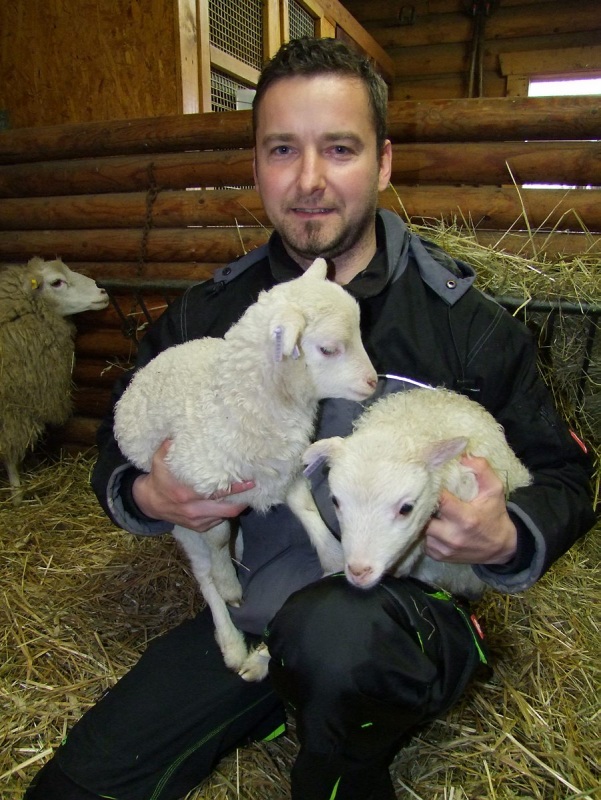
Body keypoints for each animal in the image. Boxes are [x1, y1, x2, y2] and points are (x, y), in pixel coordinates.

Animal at [113, 258, 376, 680]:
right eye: (328, 349)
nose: (372, 381)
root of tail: (145, 370)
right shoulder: (199, 491)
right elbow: (218, 540)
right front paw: (229, 583)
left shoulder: (285, 469)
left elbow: (307, 511)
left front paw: (334, 557)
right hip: (176, 516)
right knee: (202, 570)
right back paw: (231, 638)